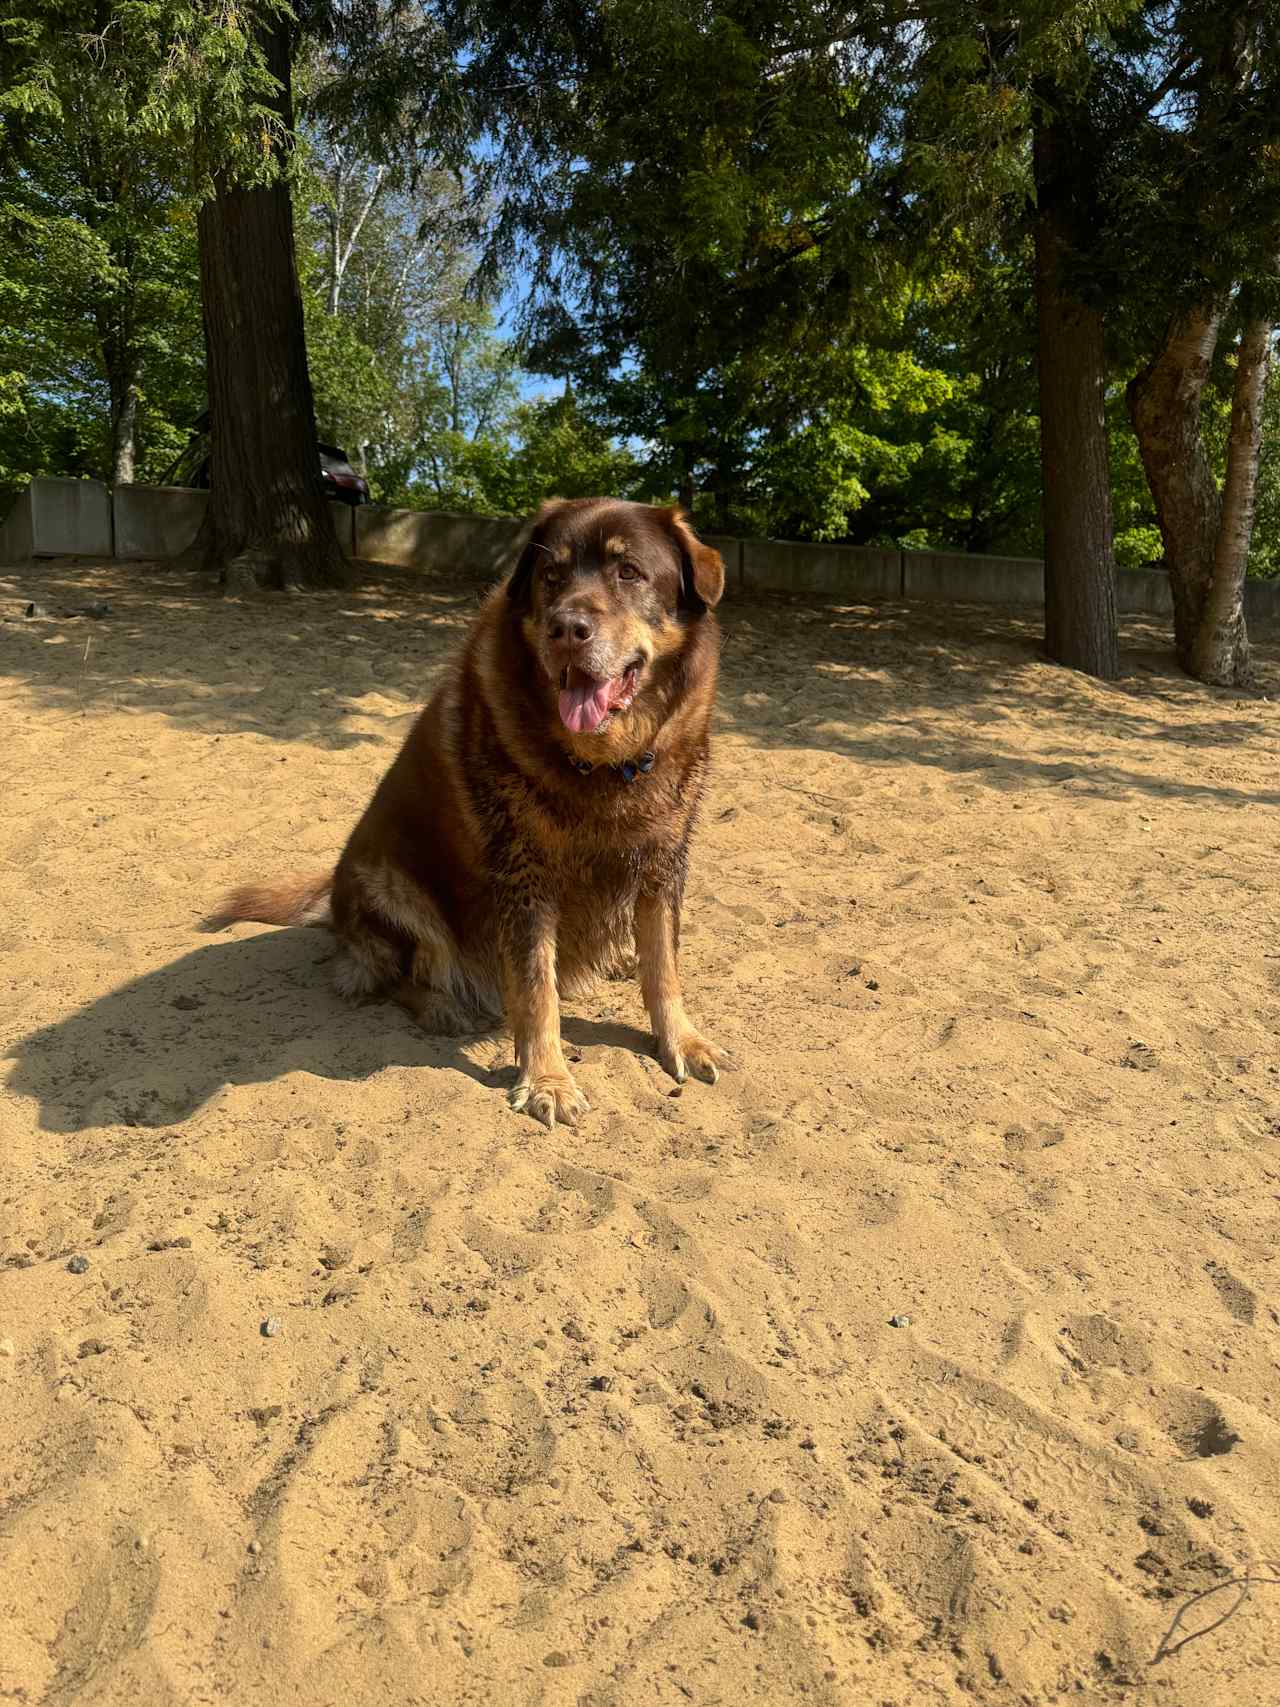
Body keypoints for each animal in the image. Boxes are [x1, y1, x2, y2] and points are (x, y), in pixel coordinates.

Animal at [210, 498, 730, 1126]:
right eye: (551, 576)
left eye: (629, 572)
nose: (565, 629)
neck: (602, 764)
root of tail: (334, 907)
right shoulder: (524, 877)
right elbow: (534, 986)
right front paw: (548, 1079)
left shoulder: (662, 861)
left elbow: (663, 966)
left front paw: (681, 1039)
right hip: (390, 886)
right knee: (392, 975)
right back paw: (443, 1006)